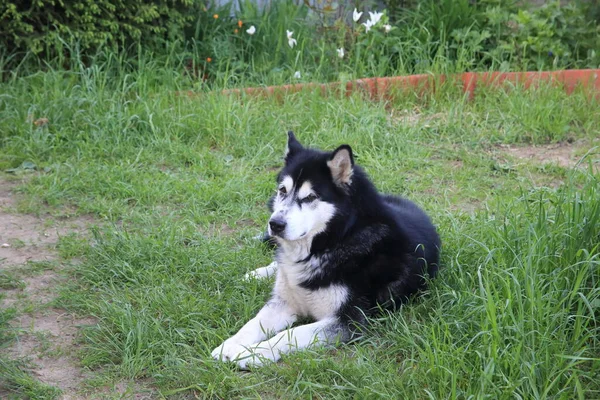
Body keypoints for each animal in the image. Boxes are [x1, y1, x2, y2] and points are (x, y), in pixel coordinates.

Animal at [211, 131, 440, 368]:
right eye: (282, 190)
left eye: (310, 197)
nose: (275, 224)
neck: (332, 241)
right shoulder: (284, 302)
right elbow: (254, 323)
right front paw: (231, 344)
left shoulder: (348, 321)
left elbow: (290, 334)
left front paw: (252, 353)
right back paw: (258, 273)